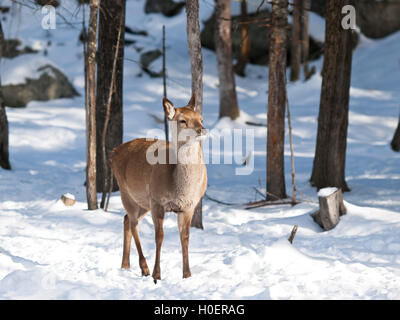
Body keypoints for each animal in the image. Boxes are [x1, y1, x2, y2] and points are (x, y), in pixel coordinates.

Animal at [111, 94, 208, 282]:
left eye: (201, 118)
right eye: (183, 120)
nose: (202, 130)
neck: (180, 189)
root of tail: (114, 151)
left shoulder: (189, 206)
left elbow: (185, 237)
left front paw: (187, 275)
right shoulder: (157, 201)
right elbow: (159, 236)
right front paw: (157, 275)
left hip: (143, 202)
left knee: (126, 220)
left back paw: (125, 265)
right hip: (126, 191)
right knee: (133, 223)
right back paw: (144, 268)